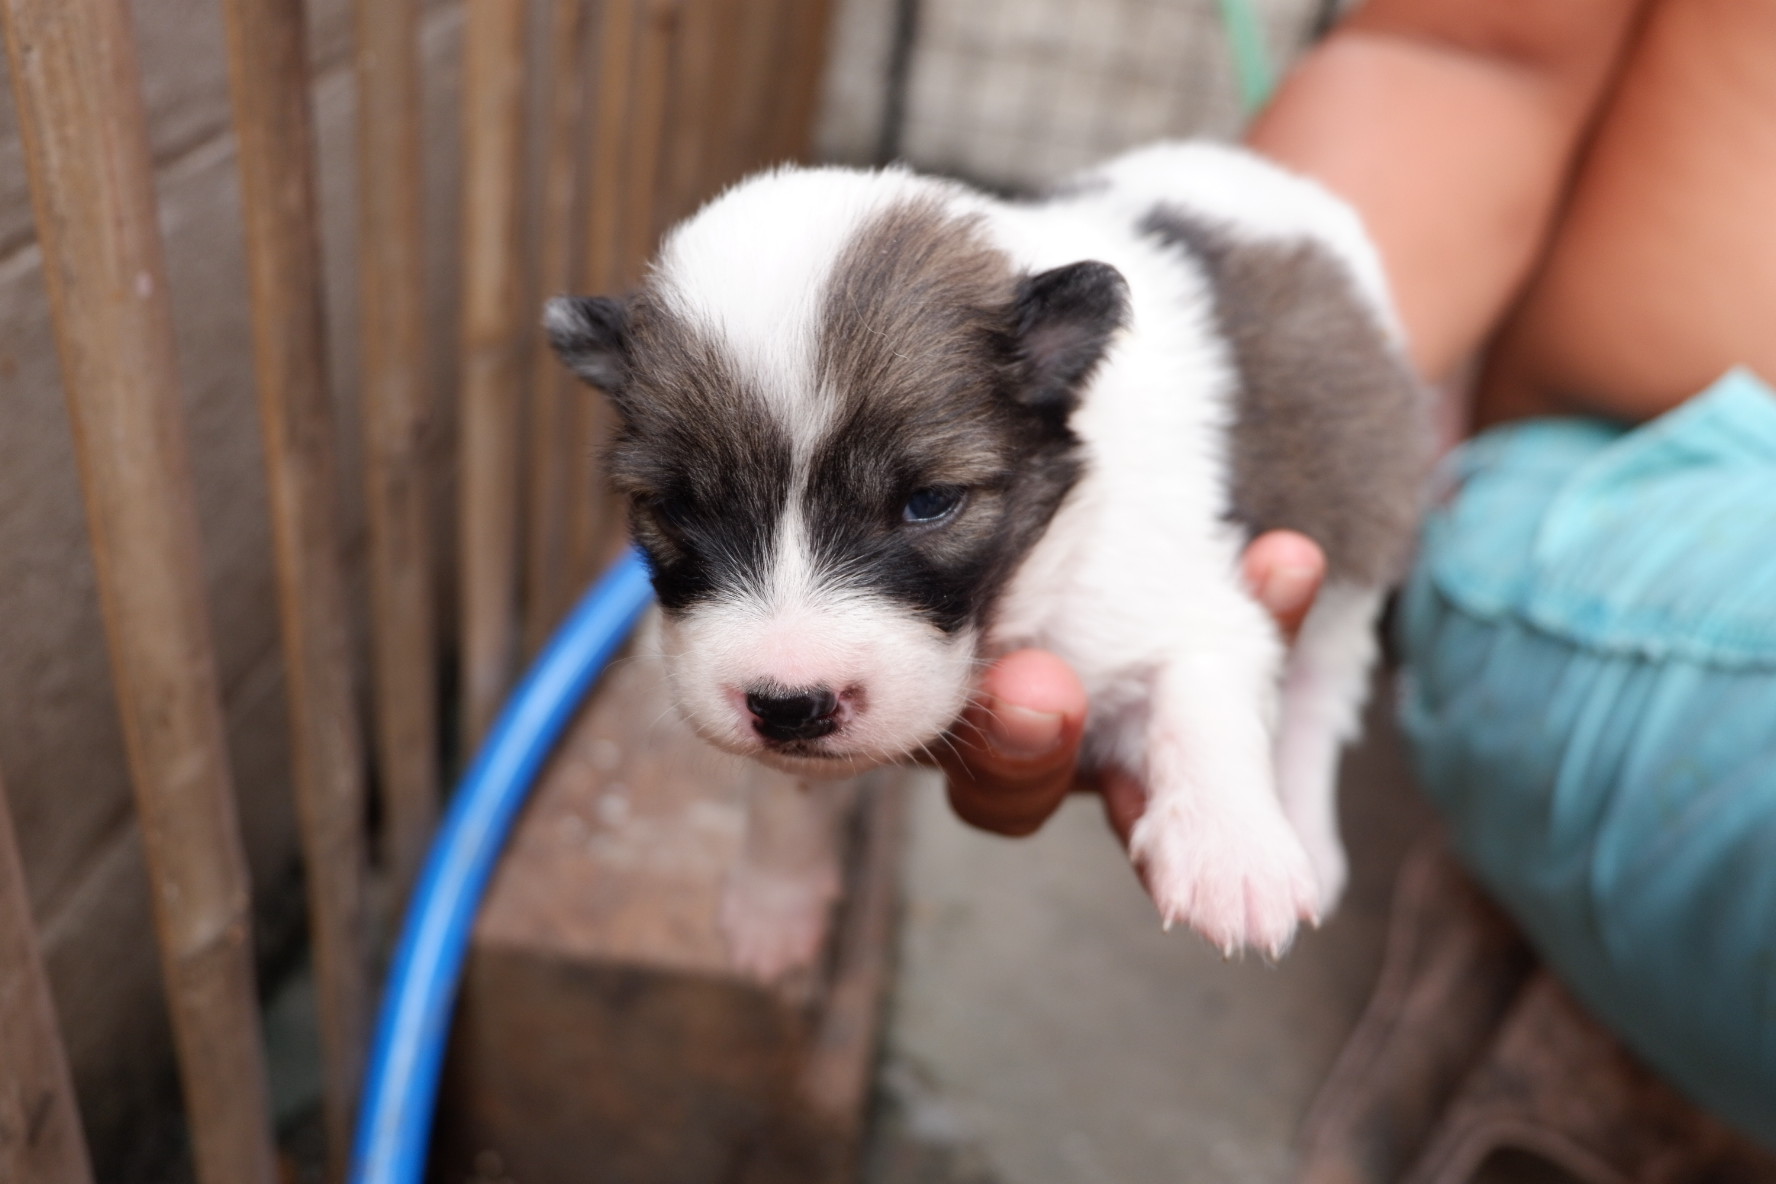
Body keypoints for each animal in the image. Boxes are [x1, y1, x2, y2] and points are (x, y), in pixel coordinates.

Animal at [547, 141, 1428, 963]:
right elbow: (794, 789)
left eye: (931, 502)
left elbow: (1205, 686)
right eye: (676, 508)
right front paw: (776, 901)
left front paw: (1232, 856)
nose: (790, 706)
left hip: (1362, 521)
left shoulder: (1167, 585)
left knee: (1321, 688)